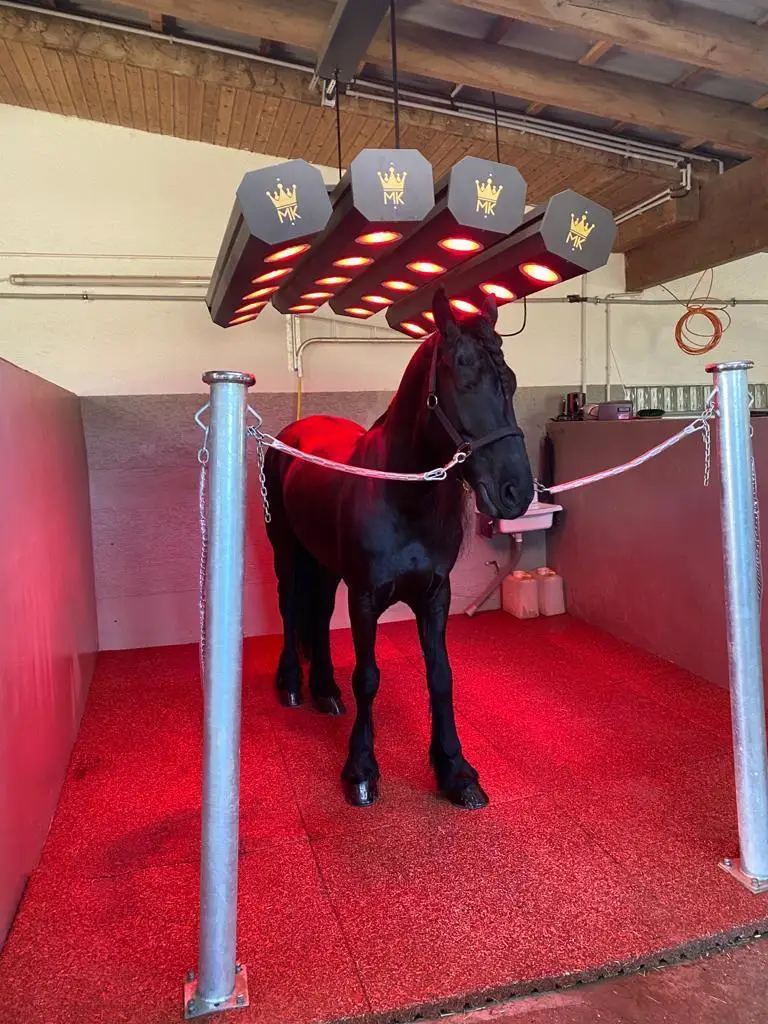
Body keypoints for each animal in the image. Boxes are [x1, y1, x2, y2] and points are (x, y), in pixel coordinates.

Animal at [264, 285, 534, 810]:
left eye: (511, 383)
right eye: (464, 380)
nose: (517, 491)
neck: (405, 496)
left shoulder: (435, 596)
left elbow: (441, 676)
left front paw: (454, 770)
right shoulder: (366, 596)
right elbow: (368, 677)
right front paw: (361, 769)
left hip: (326, 563)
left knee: (319, 614)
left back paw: (324, 690)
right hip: (285, 549)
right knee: (290, 607)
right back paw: (291, 686)